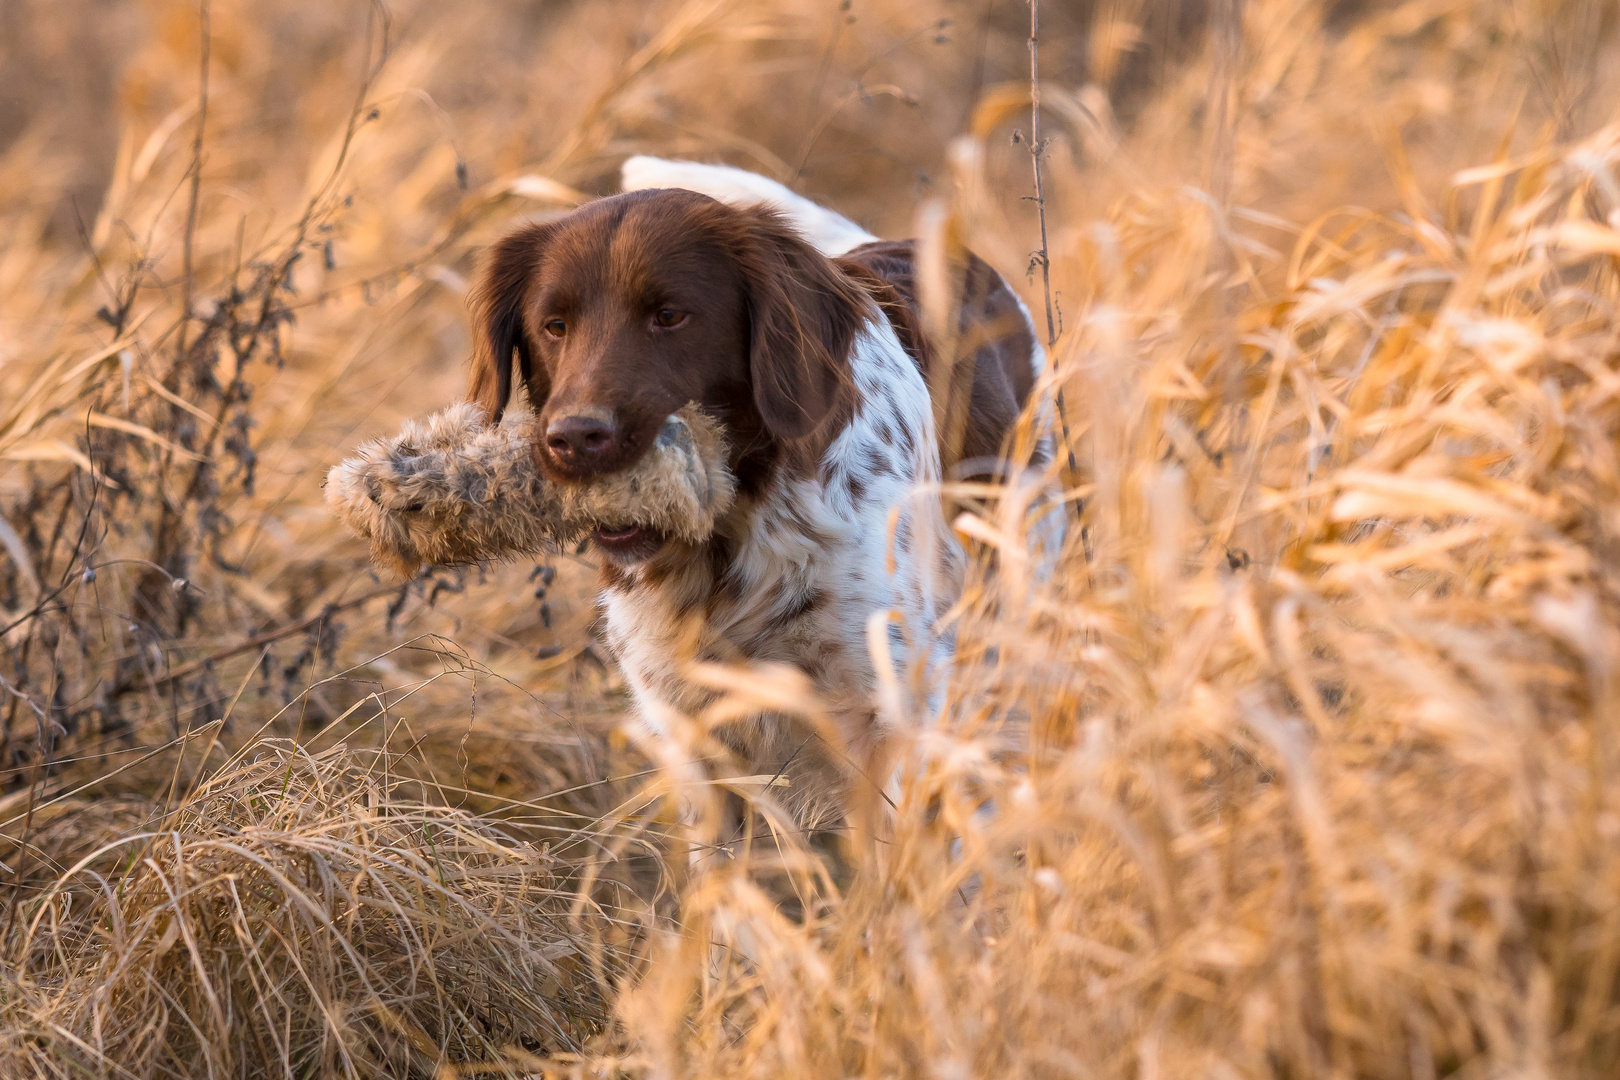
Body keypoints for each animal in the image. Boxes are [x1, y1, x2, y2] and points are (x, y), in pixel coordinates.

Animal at [469, 158, 1049, 854]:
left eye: (670, 315)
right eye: (554, 326)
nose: (577, 437)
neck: (737, 528)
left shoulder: (893, 712)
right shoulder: (689, 727)